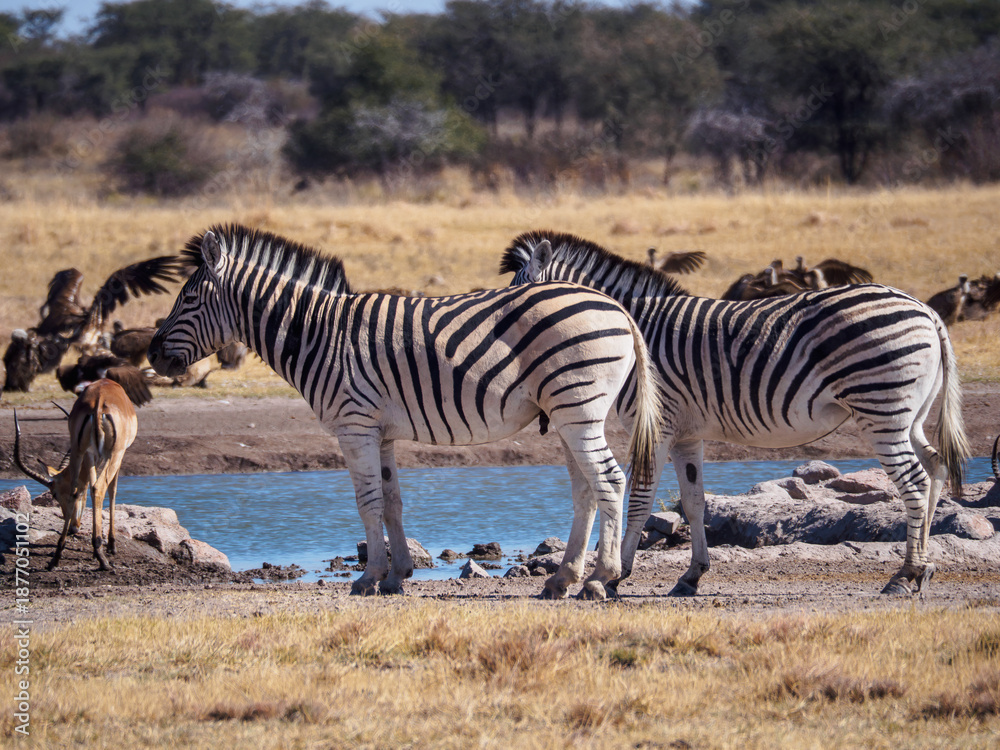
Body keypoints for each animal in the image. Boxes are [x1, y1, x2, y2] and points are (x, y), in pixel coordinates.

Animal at [147, 224, 662, 600]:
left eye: (187, 299)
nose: (150, 355)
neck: (316, 332)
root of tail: (617, 307)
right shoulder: (382, 431)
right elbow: (392, 500)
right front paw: (397, 576)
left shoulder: (353, 425)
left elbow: (367, 501)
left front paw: (368, 576)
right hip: (568, 412)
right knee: (586, 489)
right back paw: (562, 580)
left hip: (577, 406)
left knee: (609, 481)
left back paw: (600, 579)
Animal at [500, 230, 970, 597]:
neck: (630, 325)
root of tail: (927, 310)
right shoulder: (687, 433)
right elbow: (693, 503)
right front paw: (692, 576)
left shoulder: (656, 423)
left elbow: (640, 498)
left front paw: (616, 577)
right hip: (909, 415)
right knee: (934, 466)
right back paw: (923, 565)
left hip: (882, 409)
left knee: (914, 481)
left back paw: (904, 574)